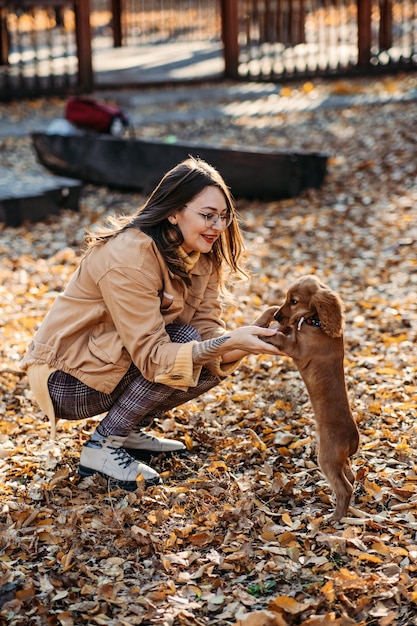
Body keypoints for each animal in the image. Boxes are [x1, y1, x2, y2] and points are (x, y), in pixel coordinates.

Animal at [254, 274, 358, 520]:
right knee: (350, 476)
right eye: (286, 298)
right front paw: (262, 320)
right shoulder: (292, 327)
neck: (315, 323)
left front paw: (263, 330)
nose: (276, 318)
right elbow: (273, 309)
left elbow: (279, 336)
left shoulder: (295, 347)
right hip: (339, 460)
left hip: (327, 458)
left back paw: (335, 518)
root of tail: (353, 439)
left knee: (345, 487)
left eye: (294, 301)